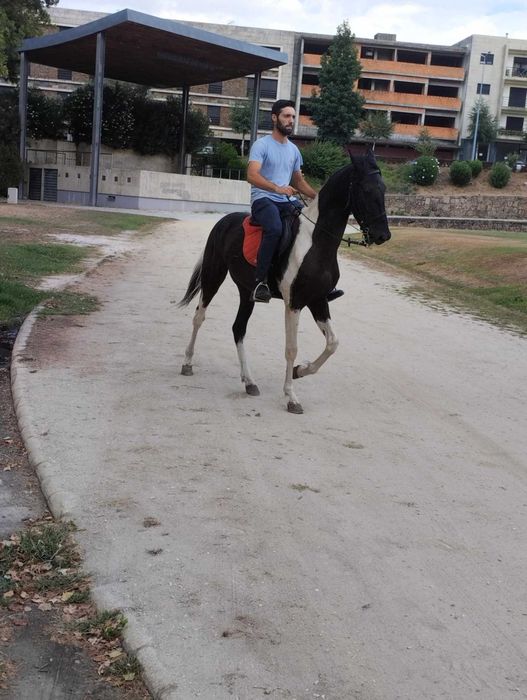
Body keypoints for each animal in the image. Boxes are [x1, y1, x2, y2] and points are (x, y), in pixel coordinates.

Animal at [178, 150, 391, 414]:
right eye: (366, 190)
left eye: (383, 189)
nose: (383, 235)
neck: (316, 243)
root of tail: (223, 221)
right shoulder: (295, 303)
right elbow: (291, 349)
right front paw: (291, 397)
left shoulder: (318, 300)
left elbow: (332, 343)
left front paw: (301, 371)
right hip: (213, 276)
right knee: (199, 316)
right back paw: (187, 363)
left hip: (247, 292)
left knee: (238, 329)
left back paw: (249, 382)